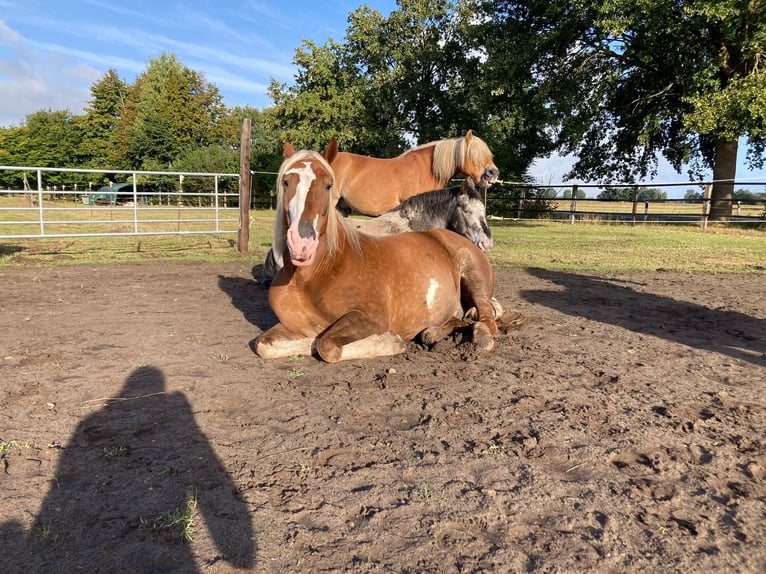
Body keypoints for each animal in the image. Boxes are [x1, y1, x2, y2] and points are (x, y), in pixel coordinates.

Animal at [255, 143, 500, 364]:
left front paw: (389, 341)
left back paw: (480, 339)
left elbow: (326, 344)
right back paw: (433, 332)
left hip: (475, 280)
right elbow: (267, 344)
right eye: (285, 182)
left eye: (328, 185)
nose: (301, 242)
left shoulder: (371, 317)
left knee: (488, 318)